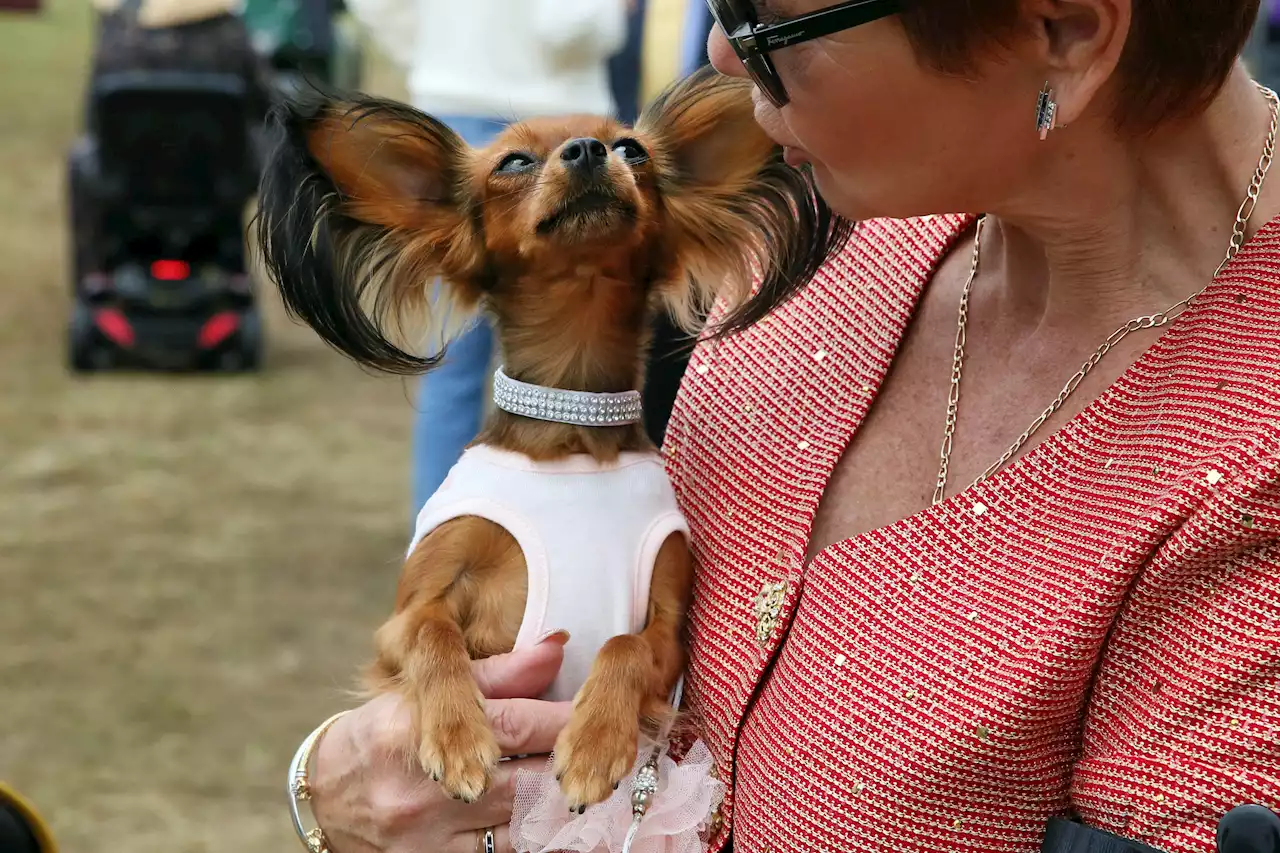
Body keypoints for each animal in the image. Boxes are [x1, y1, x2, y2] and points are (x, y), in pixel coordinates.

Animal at [254, 68, 844, 809]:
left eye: (632, 150)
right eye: (512, 162)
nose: (590, 151)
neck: (571, 424)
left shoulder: (666, 622)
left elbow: (625, 646)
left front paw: (595, 743)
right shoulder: (405, 616)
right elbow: (431, 632)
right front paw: (457, 737)